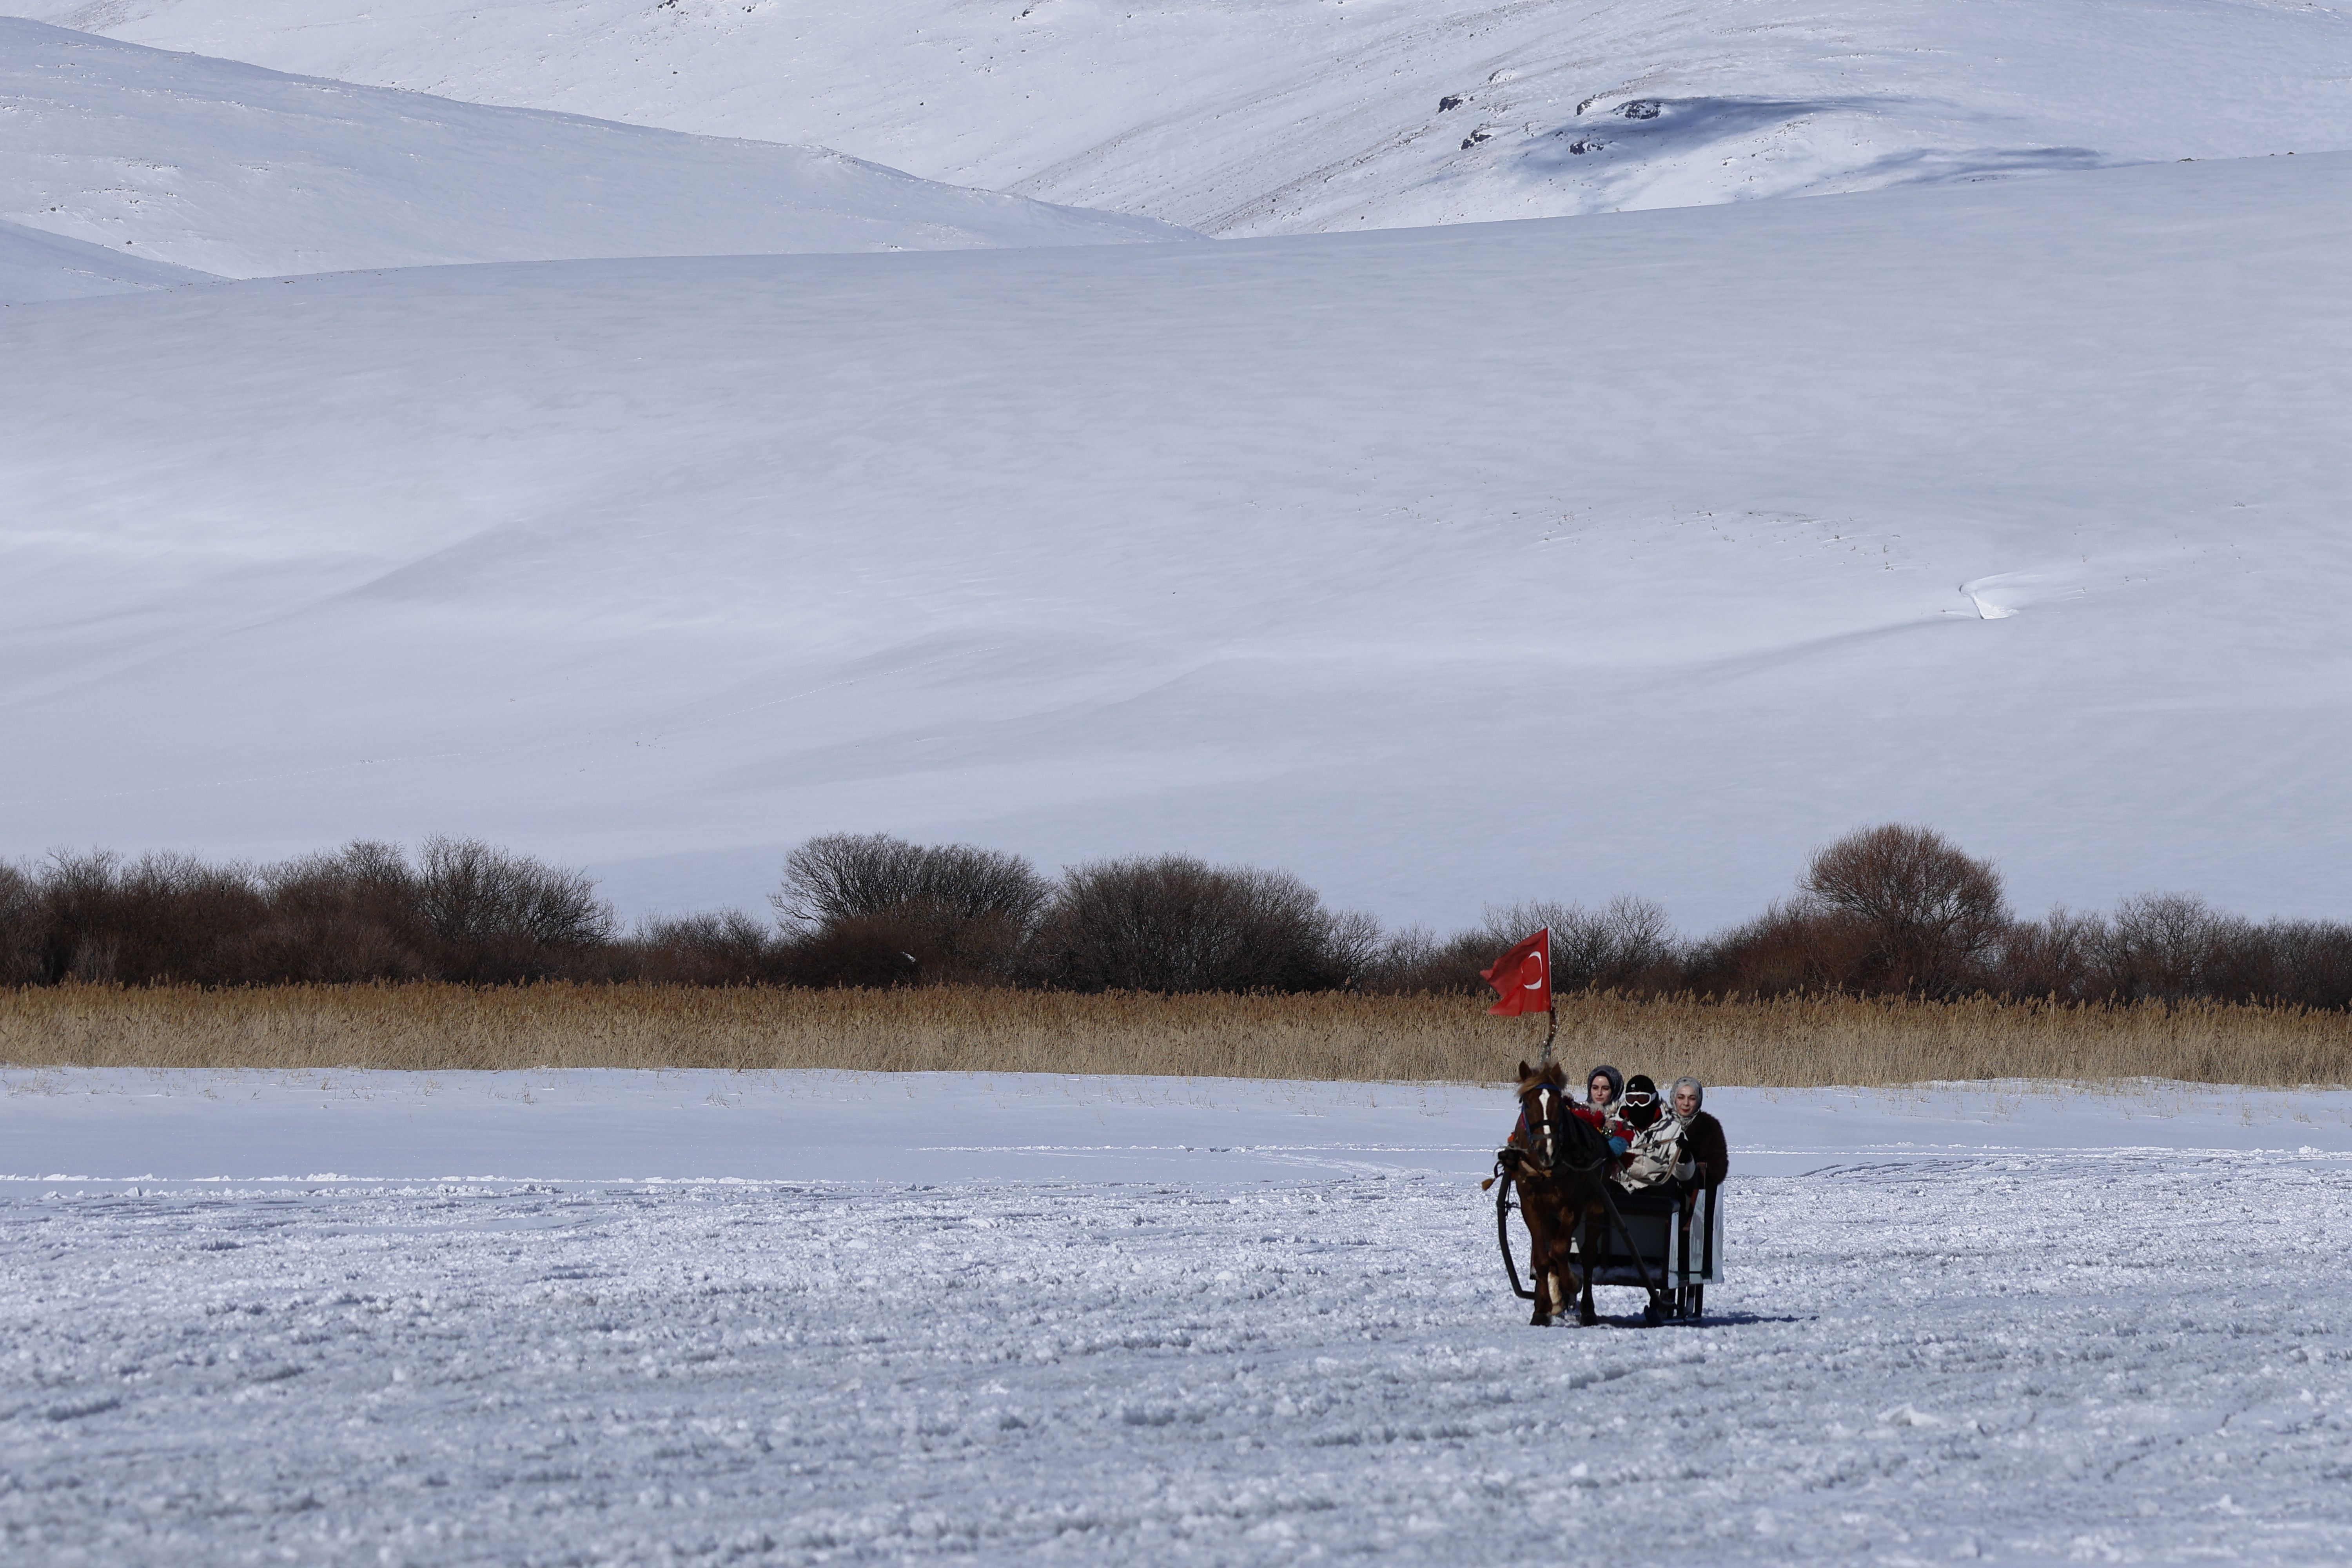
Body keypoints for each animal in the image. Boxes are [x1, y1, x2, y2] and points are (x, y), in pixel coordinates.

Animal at [1493, 1060, 1622, 1326]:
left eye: (1558, 1104)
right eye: (1527, 1103)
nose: (1548, 1151)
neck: (1546, 1170)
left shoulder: (1572, 1206)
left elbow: (1562, 1250)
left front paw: (1571, 1283)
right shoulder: (1532, 1207)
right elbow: (1544, 1258)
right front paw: (1543, 1308)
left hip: (1596, 1205)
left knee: (1588, 1256)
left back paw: (1587, 1309)